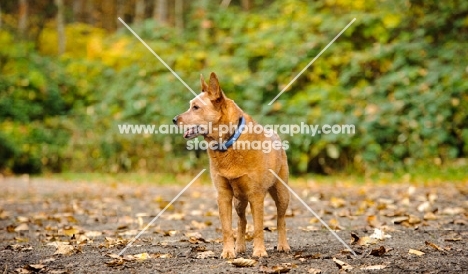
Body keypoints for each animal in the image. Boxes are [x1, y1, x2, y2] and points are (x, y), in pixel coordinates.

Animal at [173, 73, 288, 260]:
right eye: (191, 105)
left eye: (196, 107)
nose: (174, 120)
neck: (229, 143)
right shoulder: (224, 195)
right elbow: (227, 228)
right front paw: (228, 252)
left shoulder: (256, 195)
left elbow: (258, 228)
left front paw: (259, 251)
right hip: (239, 200)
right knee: (242, 220)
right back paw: (239, 247)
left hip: (282, 193)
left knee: (281, 219)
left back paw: (283, 245)